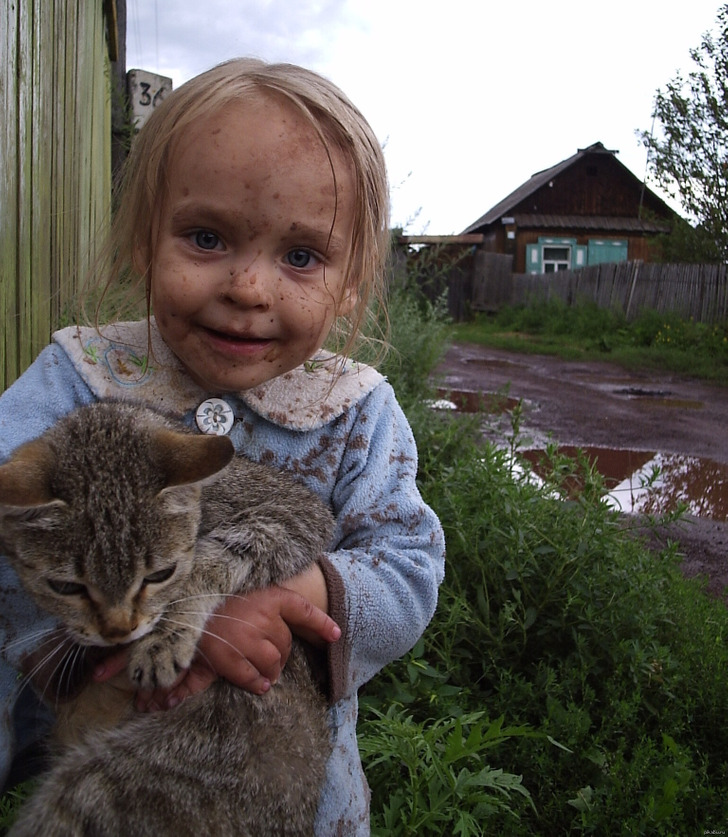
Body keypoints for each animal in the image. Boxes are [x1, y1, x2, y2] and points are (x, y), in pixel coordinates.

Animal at [0, 400, 334, 836]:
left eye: (159, 575)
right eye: (66, 587)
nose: (118, 631)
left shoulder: (292, 511)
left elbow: (212, 561)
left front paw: (163, 640)